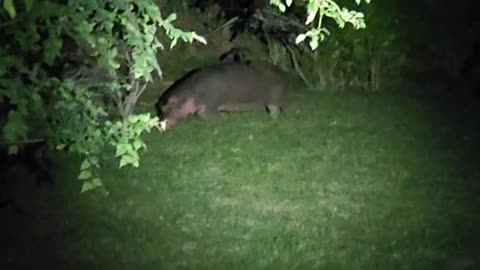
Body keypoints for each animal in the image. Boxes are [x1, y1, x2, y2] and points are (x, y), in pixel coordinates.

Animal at [156, 61, 288, 129]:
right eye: (158, 106)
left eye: (165, 107)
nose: (158, 125)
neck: (188, 93)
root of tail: (280, 71)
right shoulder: (203, 106)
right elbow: (202, 114)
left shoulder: (210, 105)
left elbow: (213, 116)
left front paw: (220, 122)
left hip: (274, 100)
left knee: (275, 110)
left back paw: (271, 120)